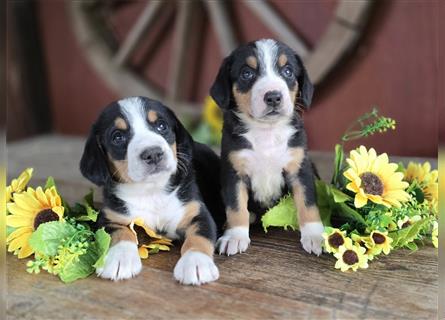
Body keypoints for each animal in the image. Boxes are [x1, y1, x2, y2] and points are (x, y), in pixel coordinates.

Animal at [79, 95, 222, 284]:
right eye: (117, 137)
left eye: (161, 126)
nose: (153, 153)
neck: (151, 191)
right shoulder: (111, 217)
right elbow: (121, 234)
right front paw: (119, 259)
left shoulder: (197, 213)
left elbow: (198, 238)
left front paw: (196, 263)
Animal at [211, 38, 322, 256]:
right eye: (247, 73)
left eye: (287, 71)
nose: (273, 97)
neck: (266, 131)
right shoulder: (233, 172)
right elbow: (236, 207)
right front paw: (235, 236)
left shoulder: (300, 168)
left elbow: (308, 203)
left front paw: (315, 236)